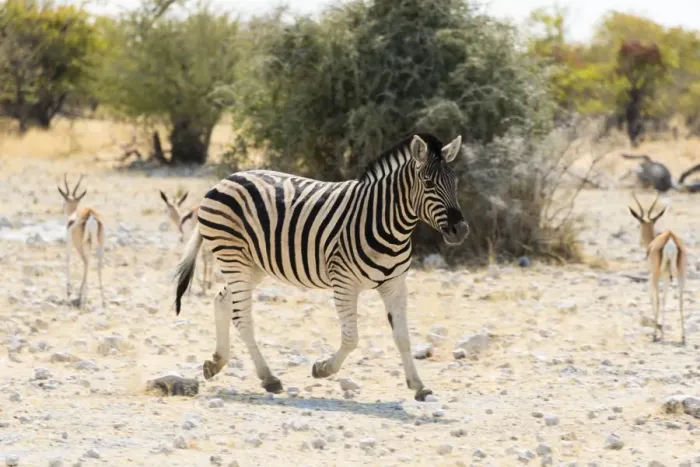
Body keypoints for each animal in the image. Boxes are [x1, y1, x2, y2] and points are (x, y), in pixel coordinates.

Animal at [174, 133, 468, 401]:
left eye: (455, 182)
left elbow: (403, 338)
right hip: (234, 257)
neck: (386, 223)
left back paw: (216, 363)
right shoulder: (344, 283)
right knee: (241, 317)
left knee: (222, 301)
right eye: (428, 183)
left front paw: (419, 385)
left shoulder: (395, 285)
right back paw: (269, 378)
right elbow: (351, 338)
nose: (461, 230)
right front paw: (323, 369)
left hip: (252, 266)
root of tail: (223, 181)